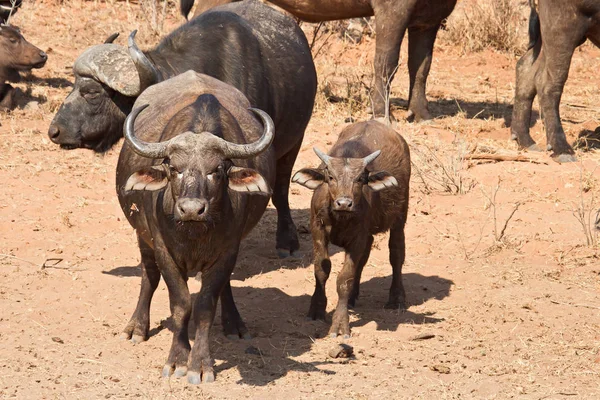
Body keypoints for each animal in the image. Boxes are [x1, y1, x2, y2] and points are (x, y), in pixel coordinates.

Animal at [50, 0, 318, 344]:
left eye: (92, 93)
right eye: (73, 86)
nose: (55, 131)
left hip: (294, 139)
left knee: (282, 189)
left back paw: (287, 240)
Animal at [180, 0, 458, 121]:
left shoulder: (429, 19)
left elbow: (421, 67)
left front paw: (421, 112)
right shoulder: (392, 12)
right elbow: (386, 64)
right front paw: (381, 112)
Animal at [292, 121, 410, 338]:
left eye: (361, 179)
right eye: (330, 176)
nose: (344, 203)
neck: (340, 217)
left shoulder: (358, 237)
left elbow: (345, 278)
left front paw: (340, 323)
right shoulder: (317, 229)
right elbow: (321, 269)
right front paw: (317, 309)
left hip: (400, 216)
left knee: (396, 254)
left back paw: (396, 298)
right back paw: (354, 297)